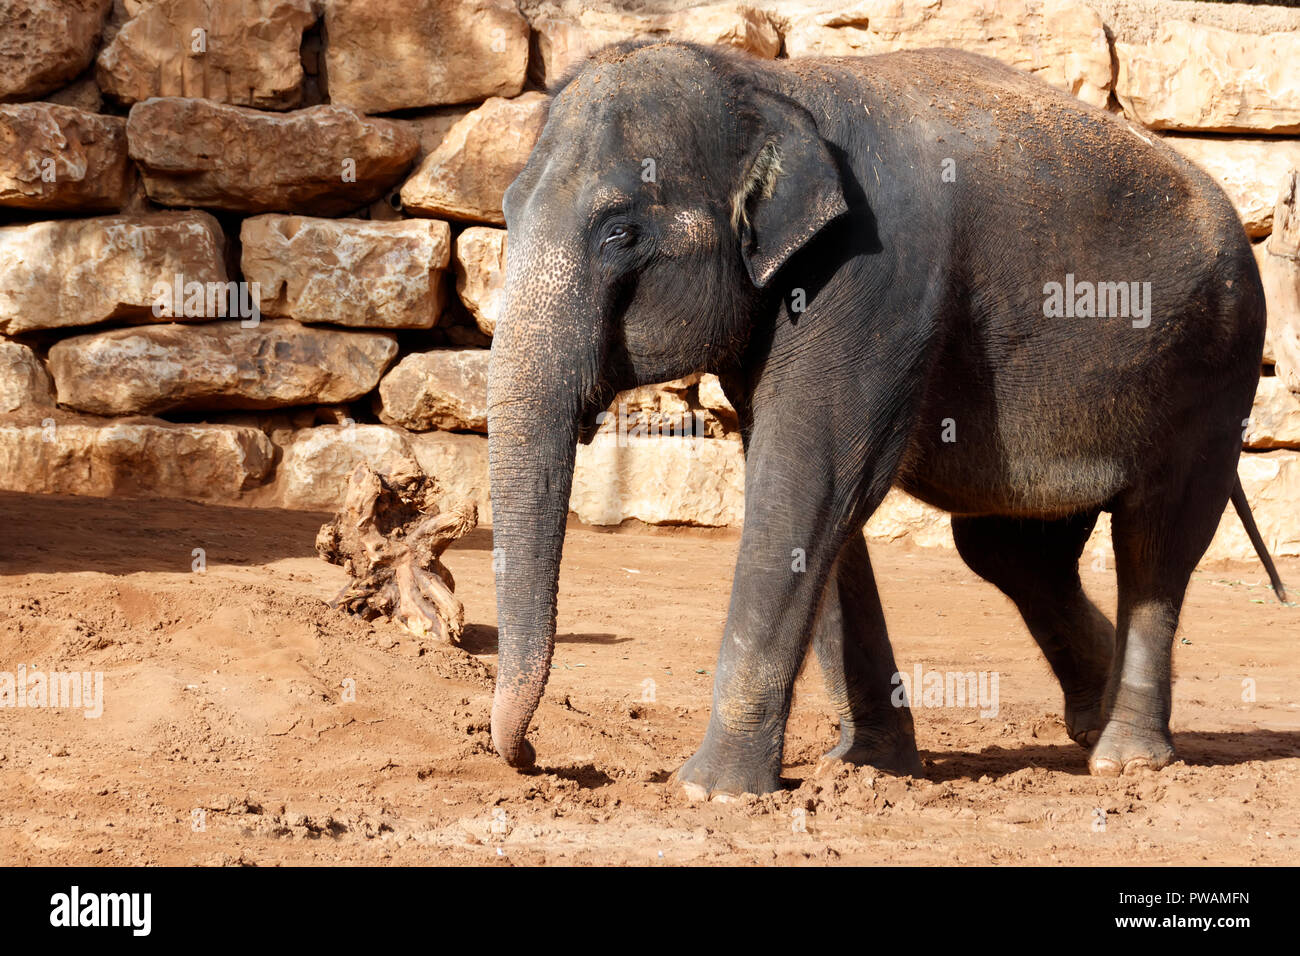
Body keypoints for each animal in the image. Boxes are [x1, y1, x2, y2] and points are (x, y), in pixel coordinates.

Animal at [486, 40, 1288, 799]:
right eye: (508, 211)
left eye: (620, 233)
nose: (528, 759)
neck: (771, 85)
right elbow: (822, 503)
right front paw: (866, 767)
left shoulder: (873, 276)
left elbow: (812, 478)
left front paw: (708, 791)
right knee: (1014, 552)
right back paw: (1091, 725)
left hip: (1217, 365)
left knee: (1156, 539)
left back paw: (1127, 760)